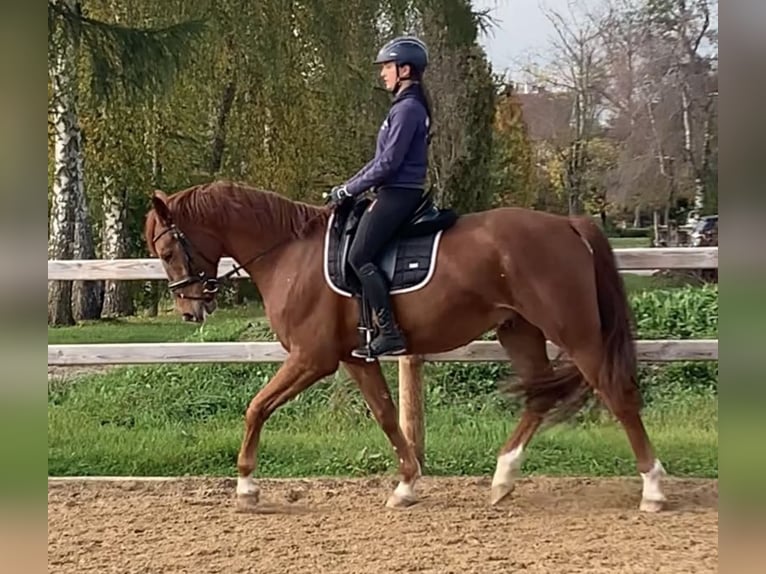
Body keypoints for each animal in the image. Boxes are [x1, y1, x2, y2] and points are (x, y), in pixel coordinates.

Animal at [142, 180, 664, 512]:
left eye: (166, 251)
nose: (190, 311)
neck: (290, 254)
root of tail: (568, 223)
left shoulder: (312, 358)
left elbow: (256, 407)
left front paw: (246, 487)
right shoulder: (354, 358)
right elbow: (387, 415)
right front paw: (406, 486)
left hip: (575, 332)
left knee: (618, 394)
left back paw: (653, 489)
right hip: (519, 329)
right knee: (539, 397)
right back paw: (502, 480)